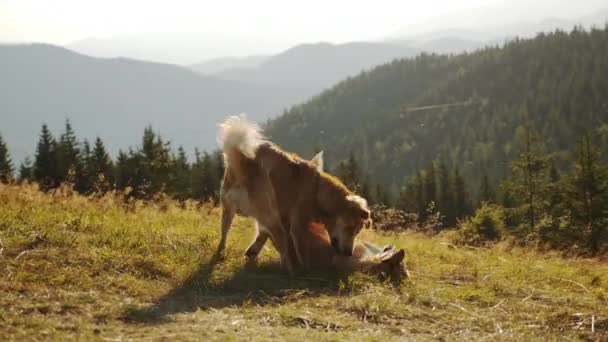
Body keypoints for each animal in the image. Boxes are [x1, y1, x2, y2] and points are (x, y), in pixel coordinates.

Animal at [216, 115, 372, 272]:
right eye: (351, 229)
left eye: (357, 231)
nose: (349, 253)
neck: (317, 191)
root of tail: (245, 164)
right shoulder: (297, 224)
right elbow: (298, 249)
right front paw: (304, 268)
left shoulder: (277, 218)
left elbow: (262, 236)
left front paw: (252, 253)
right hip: (271, 215)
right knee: (283, 248)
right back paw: (290, 269)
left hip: (229, 209)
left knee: (224, 233)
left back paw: (221, 254)